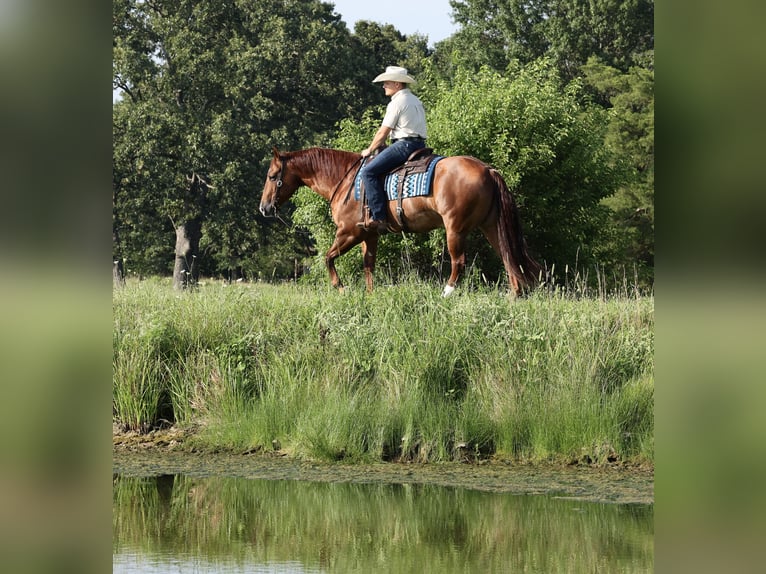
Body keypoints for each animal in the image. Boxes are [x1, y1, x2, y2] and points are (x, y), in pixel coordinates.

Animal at [259, 146, 540, 297]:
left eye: (272, 176)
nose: (264, 207)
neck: (345, 180)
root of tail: (488, 170)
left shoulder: (348, 232)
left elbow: (328, 258)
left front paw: (341, 288)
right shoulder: (368, 235)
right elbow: (369, 265)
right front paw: (370, 295)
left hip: (455, 229)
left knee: (458, 262)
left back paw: (446, 293)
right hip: (490, 226)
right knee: (507, 256)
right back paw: (514, 295)